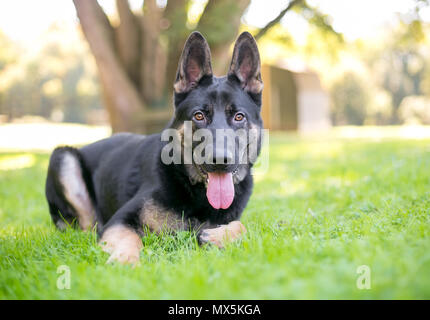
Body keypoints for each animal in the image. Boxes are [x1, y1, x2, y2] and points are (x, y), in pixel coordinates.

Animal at [45, 31, 264, 264]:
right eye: (199, 116)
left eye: (239, 117)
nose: (221, 160)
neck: (192, 188)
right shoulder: (118, 221)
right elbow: (131, 238)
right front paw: (125, 260)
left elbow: (244, 226)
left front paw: (216, 236)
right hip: (63, 157)